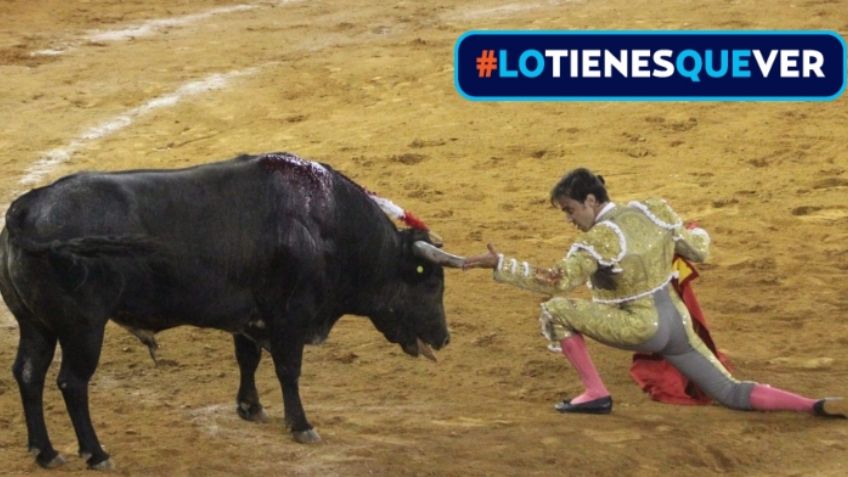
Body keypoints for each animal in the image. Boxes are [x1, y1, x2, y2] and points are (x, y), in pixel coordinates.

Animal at [0, 153, 464, 468]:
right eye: (430, 282)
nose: (444, 338)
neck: (322, 223)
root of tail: (25, 210)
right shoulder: (289, 317)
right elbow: (288, 370)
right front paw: (301, 425)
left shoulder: (250, 317)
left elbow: (248, 358)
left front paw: (250, 408)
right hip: (83, 328)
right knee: (71, 383)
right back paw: (95, 453)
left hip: (36, 325)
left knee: (29, 374)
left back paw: (45, 451)